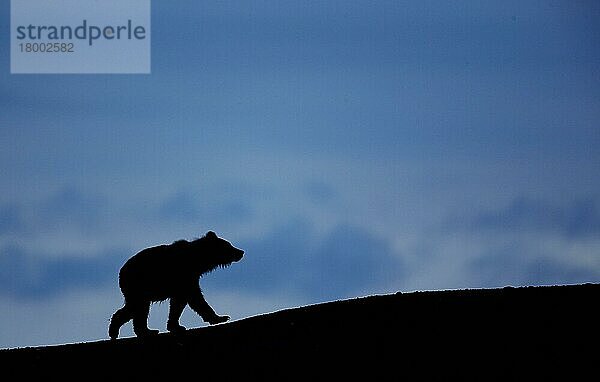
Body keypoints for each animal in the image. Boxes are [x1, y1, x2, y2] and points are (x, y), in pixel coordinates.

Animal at [108, 231, 244, 338]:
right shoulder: (184, 277)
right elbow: (195, 299)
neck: (198, 261)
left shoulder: (186, 281)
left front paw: (175, 325)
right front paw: (221, 318)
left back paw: (141, 330)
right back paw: (124, 331)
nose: (241, 252)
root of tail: (121, 271)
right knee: (138, 307)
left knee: (136, 308)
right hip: (138, 285)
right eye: (229, 245)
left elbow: (178, 303)